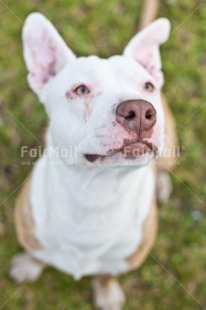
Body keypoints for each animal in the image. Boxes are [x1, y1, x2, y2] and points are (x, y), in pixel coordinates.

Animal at [10, 6, 176, 308]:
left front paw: (107, 293)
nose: (140, 111)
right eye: (81, 90)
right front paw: (29, 265)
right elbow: (37, 253)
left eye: (147, 86)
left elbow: (106, 274)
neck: (97, 191)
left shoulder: (121, 261)